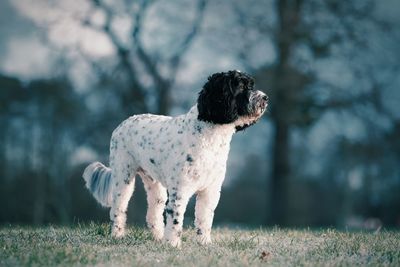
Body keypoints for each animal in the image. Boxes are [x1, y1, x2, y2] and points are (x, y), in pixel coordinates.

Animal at [82, 70, 268, 248]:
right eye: (241, 86)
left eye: (251, 85)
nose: (265, 98)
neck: (209, 135)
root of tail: (123, 123)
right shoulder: (181, 189)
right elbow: (176, 219)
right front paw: (173, 244)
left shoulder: (211, 190)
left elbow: (204, 219)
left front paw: (204, 242)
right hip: (123, 177)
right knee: (118, 209)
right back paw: (118, 235)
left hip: (154, 185)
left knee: (153, 214)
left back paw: (158, 237)